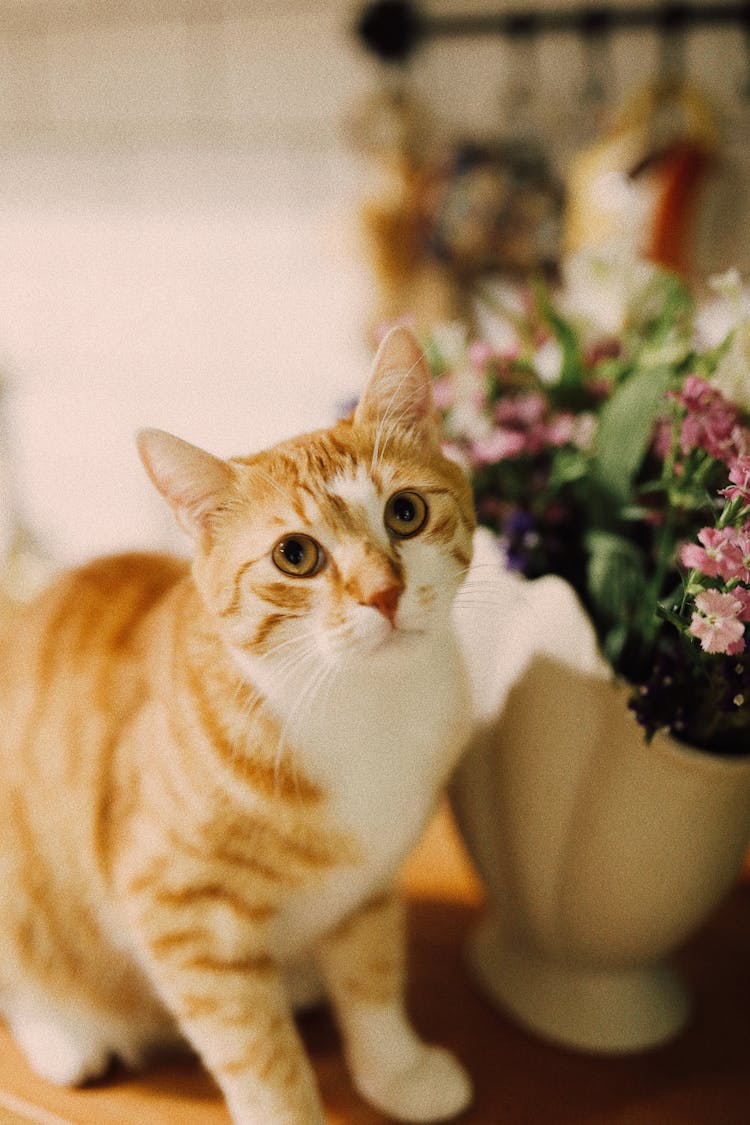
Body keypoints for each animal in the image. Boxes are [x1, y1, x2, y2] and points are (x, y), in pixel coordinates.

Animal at [0, 328, 474, 1125]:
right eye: (296, 555)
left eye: (405, 512)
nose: (383, 592)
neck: (362, 704)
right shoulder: (185, 918)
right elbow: (258, 1051)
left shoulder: (372, 882)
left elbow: (373, 978)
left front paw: (397, 1071)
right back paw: (65, 1037)